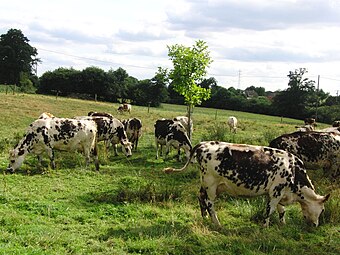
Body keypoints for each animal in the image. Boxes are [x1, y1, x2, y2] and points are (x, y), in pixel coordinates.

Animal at [164, 141, 330, 227]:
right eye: (322, 210)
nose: (315, 225)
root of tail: (204, 143)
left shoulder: (277, 193)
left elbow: (281, 210)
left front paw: (282, 224)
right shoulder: (276, 191)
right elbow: (269, 211)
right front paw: (265, 227)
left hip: (206, 184)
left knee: (200, 197)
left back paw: (205, 217)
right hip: (211, 184)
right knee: (209, 202)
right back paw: (217, 223)